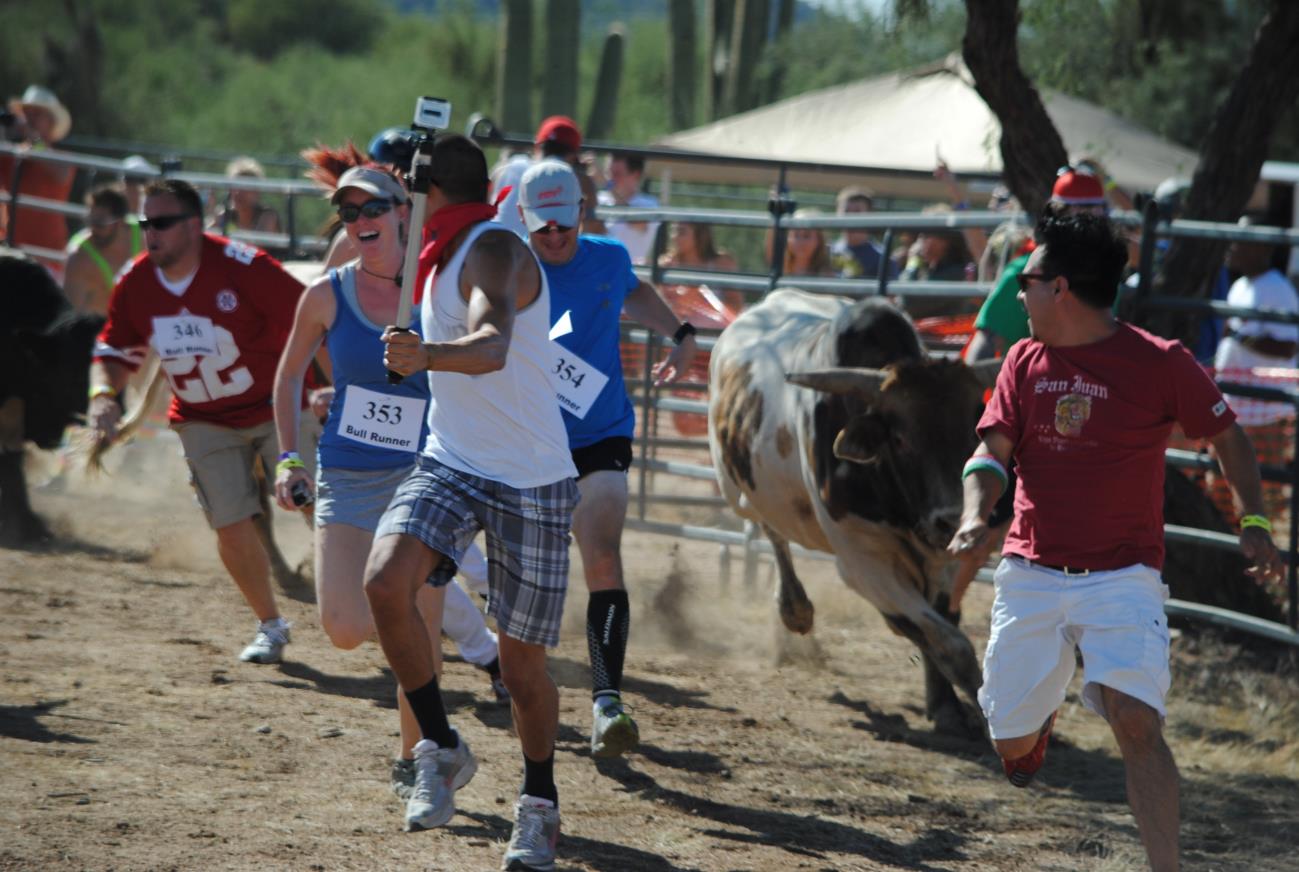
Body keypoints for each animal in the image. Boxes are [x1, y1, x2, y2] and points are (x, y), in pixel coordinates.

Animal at [711, 289, 992, 732]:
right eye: (900, 438)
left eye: (972, 429)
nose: (952, 519)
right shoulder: (862, 562)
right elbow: (949, 642)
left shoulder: (942, 559)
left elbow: (941, 621)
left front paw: (944, 704)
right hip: (738, 492)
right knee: (772, 531)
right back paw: (794, 609)